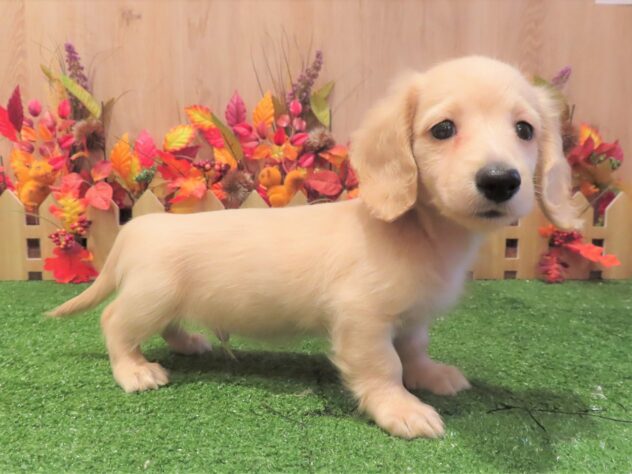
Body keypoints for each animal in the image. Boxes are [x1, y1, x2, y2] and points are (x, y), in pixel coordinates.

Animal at [49, 56, 578, 439]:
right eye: (443, 129)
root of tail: (138, 229)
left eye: (525, 130)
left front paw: (430, 375)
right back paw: (135, 371)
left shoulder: (410, 318)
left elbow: (413, 350)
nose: (500, 180)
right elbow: (385, 366)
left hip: (165, 301)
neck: (421, 234)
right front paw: (402, 408)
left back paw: (191, 344)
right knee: (114, 323)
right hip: (149, 297)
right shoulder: (362, 320)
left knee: (170, 326)